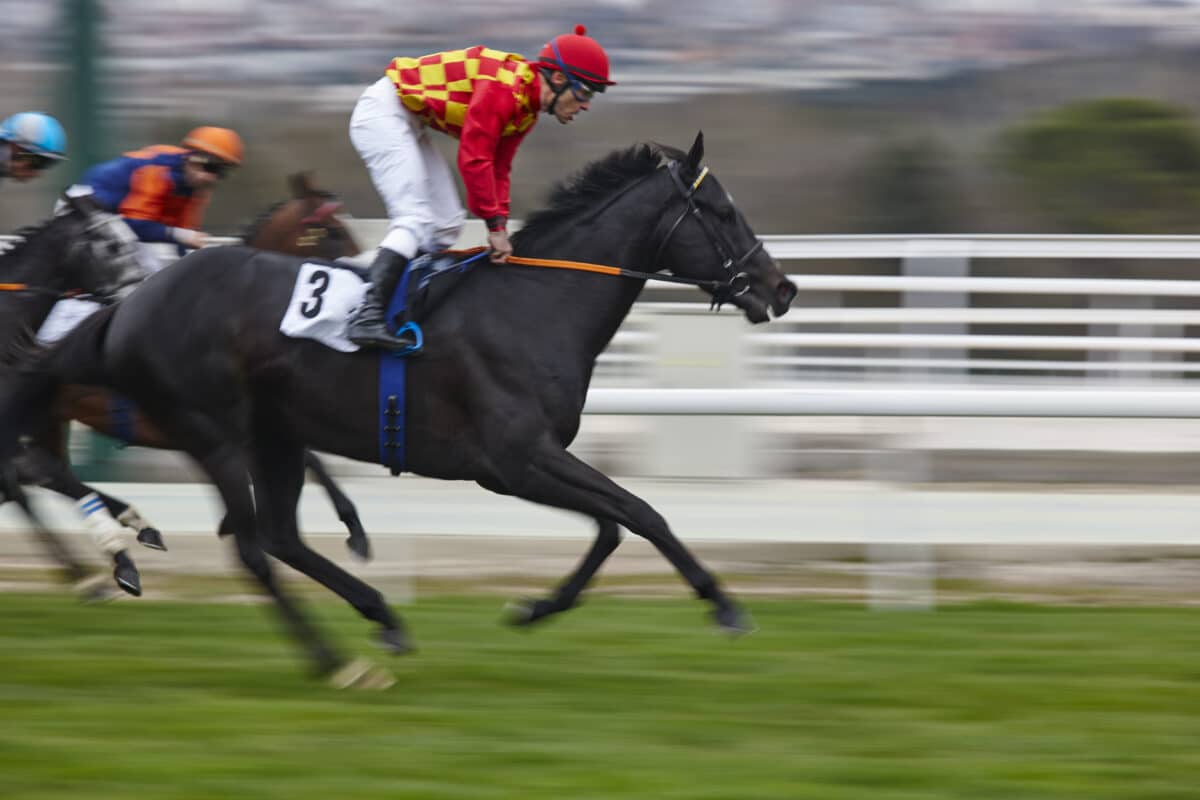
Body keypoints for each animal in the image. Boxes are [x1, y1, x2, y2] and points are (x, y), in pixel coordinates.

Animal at [9, 136, 801, 681]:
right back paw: (332, 661)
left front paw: (535, 607)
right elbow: (641, 513)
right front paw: (724, 604)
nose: (782, 287)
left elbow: (611, 527)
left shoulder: (522, 465)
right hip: (218, 433)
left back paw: (380, 617)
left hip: (275, 434)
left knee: (279, 536)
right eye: (721, 211)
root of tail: (128, 305)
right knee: (251, 546)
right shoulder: (516, 459)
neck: (533, 303)